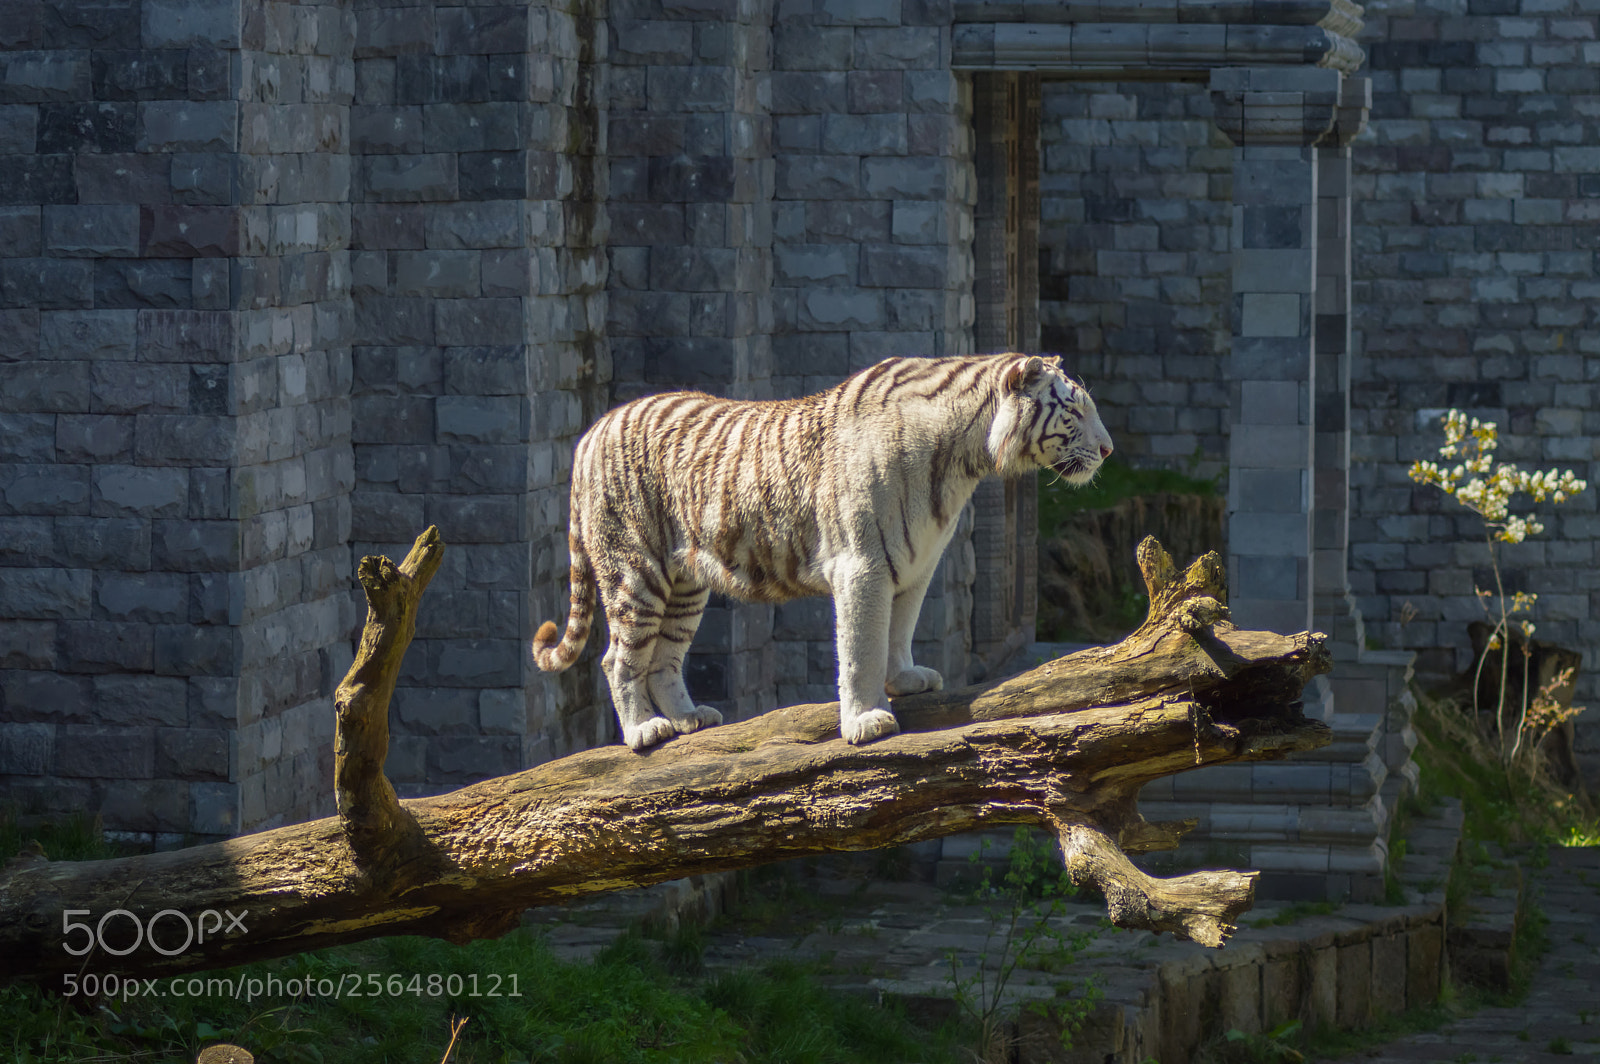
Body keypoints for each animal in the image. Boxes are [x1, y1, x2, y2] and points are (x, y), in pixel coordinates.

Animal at [533, 353, 1114, 751]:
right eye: (1074, 408)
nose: (1109, 449)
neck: (963, 459)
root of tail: (590, 432)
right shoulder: (863, 565)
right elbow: (860, 647)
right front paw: (866, 720)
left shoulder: (918, 563)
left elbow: (899, 630)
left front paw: (905, 680)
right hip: (635, 571)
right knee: (619, 657)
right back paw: (645, 730)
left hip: (685, 583)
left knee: (663, 658)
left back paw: (690, 718)